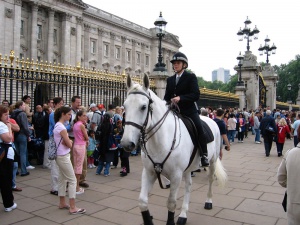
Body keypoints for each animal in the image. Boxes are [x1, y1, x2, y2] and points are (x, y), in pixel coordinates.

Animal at [120, 74, 226, 224]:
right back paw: (183, 214)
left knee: (210, 179)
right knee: (188, 185)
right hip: (188, 168)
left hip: (212, 160)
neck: (159, 141)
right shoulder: (149, 172)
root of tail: (210, 119)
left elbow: (171, 203)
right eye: (124, 106)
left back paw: (208, 202)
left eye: (143, 107)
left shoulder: (176, 175)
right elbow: (142, 201)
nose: (126, 143)